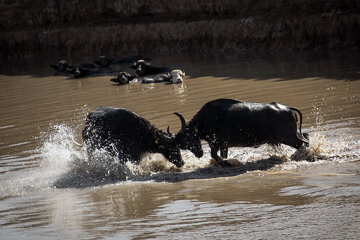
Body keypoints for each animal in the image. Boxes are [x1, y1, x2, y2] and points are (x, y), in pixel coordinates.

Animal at [173, 97, 308, 167]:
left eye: (188, 137)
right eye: (183, 146)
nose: (199, 154)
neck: (206, 120)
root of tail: (287, 109)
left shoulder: (217, 143)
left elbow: (213, 155)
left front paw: (227, 163)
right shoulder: (223, 146)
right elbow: (220, 155)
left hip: (288, 138)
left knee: (302, 144)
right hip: (292, 135)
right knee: (306, 138)